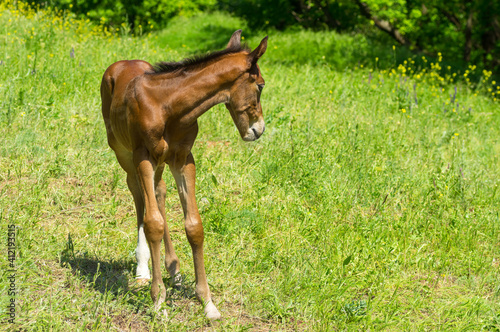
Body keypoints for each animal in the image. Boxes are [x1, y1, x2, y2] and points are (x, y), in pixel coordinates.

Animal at [99, 31, 268, 320]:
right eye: (261, 86)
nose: (258, 130)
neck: (168, 106)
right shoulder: (143, 156)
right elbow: (153, 222)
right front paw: (158, 301)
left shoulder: (183, 159)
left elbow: (193, 226)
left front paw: (207, 302)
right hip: (124, 153)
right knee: (138, 195)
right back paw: (143, 268)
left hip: (160, 163)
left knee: (158, 191)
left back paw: (174, 270)